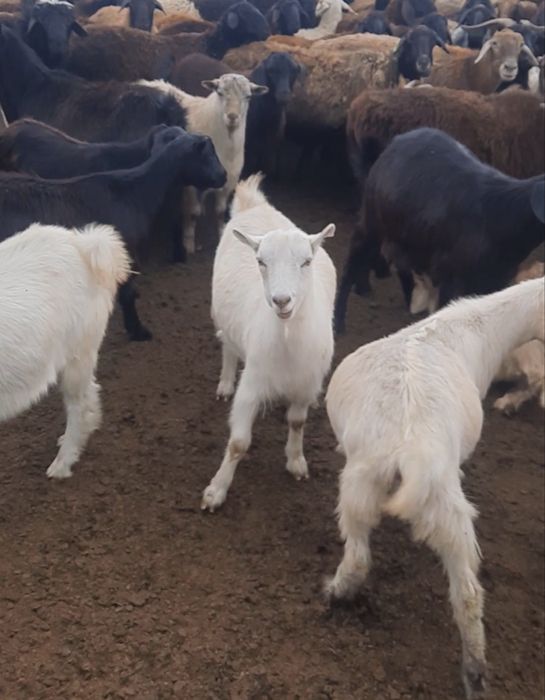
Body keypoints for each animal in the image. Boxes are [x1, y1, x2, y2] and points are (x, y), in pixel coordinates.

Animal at [0, 127, 226, 340]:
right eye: (208, 153)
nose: (224, 175)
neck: (134, 192)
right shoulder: (125, 253)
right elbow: (128, 293)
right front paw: (138, 331)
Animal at [139, 74, 267, 256]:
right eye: (220, 93)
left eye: (248, 96)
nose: (232, 117)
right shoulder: (191, 184)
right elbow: (193, 212)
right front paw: (188, 244)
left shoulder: (229, 182)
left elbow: (220, 212)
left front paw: (222, 234)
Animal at [201, 174, 336, 512]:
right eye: (261, 261)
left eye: (307, 261)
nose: (281, 300)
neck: (288, 341)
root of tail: (255, 205)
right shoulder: (252, 383)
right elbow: (238, 443)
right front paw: (216, 490)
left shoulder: (306, 383)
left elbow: (298, 422)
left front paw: (296, 462)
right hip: (221, 316)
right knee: (228, 346)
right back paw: (225, 383)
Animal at [325, 277, 544, 699]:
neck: (480, 326)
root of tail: (412, 451)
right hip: (439, 503)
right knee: (467, 594)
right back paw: (475, 676)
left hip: (362, 485)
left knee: (361, 558)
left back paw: (334, 592)